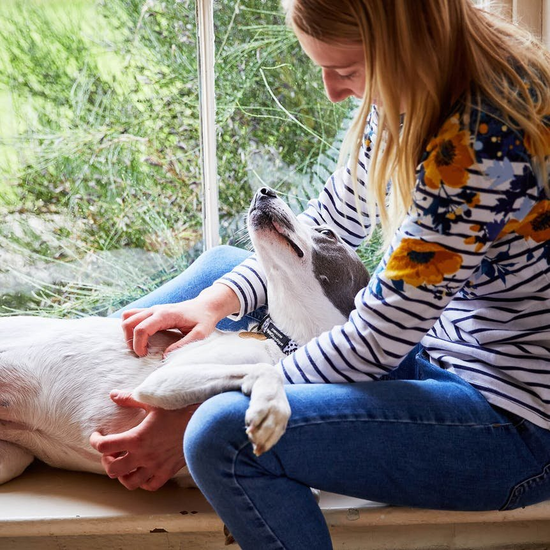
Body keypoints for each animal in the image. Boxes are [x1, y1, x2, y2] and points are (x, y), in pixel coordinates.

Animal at [0, 187, 369, 486]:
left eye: (327, 232)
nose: (265, 191)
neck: (283, 344)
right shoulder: (163, 378)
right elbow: (263, 370)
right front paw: (271, 407)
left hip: (12, 460)